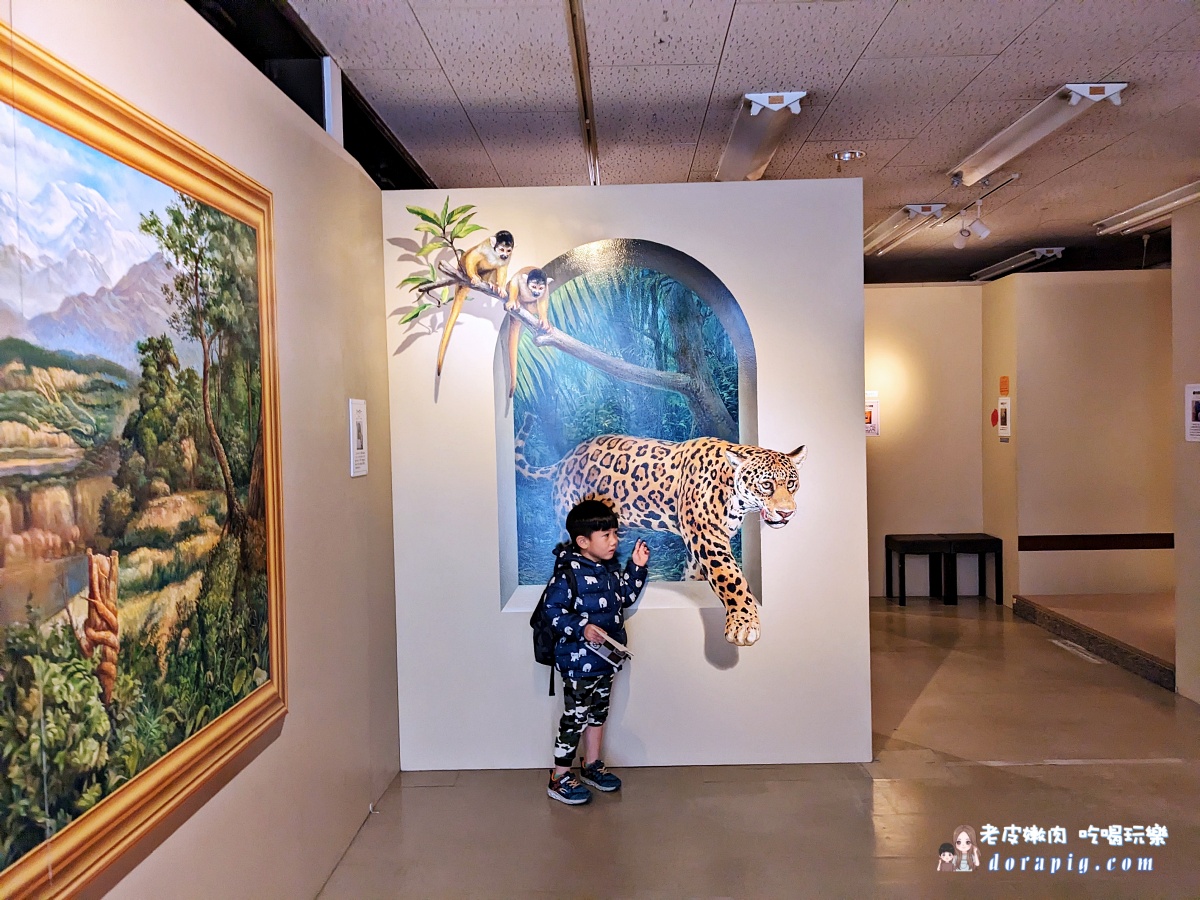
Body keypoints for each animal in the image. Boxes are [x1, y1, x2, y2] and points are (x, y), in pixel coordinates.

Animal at [441, 230, 516, 379]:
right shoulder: (485, 247)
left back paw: (492, 284)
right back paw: (475, 276)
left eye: (508, 250)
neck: (495, 254)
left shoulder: (507, 259)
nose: (505, 255)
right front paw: (474, 276)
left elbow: (502, 268)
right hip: (462, 267)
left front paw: (501, 288)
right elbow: (473, 256)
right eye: (502, 249)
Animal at [501, 264, 552, 398]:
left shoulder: (545, 289)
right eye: (534, 287)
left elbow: (543, 299)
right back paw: (517, 302)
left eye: (540, 288)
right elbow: (514, 282)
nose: (536, 292)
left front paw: (544, 319)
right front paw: (512, 300)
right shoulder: (520, 278)